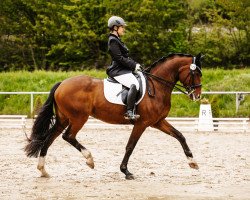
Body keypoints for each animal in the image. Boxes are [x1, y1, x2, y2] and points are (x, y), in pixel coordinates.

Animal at [23, 52, 203, 180]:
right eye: (196, 74)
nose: (197, 96)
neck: (157, 86)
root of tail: (62, 84)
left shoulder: (158, 121)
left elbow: (180, 136)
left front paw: (193, 162)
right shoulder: (142, 123)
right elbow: (130, 146)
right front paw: (126, 171)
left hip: (63, 119)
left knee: (49, 139)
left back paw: (43, 170)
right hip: (78, 118)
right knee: (68, 136)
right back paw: (89, 159)